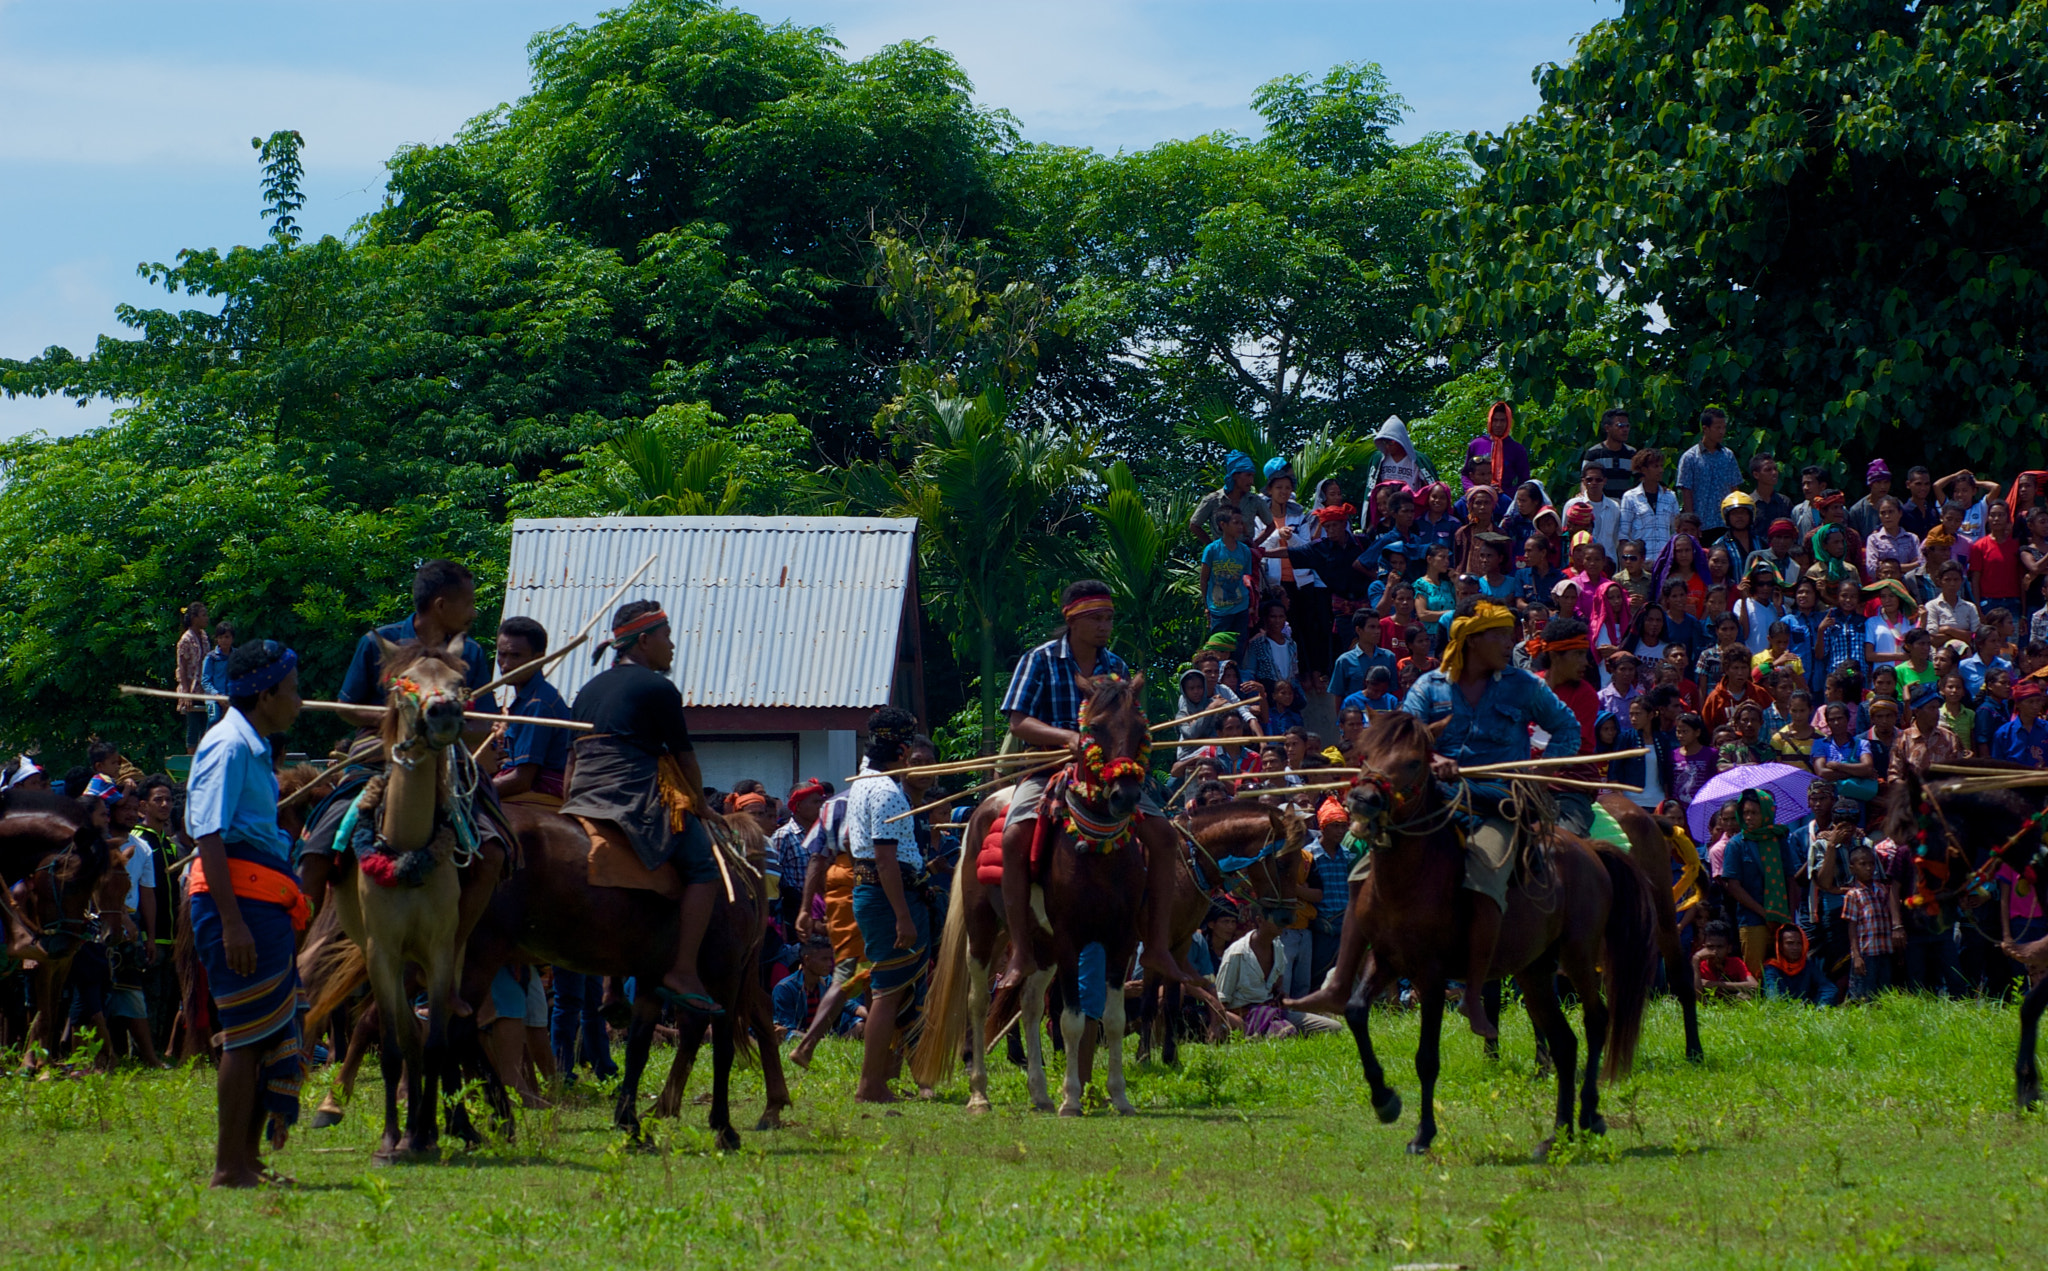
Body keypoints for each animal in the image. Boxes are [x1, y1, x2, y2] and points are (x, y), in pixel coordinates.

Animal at [0, 794, 125, 1064]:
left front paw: (40, 1064)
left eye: (93, 886)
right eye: (71, 883)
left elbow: (49, 1012)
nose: (67, 944)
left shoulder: (58, 963)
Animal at [323, 634, 475, 1162]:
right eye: (404, 682)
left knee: (427, 1035)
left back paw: (427, 1130)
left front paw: (424, 1132)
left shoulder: (441, 951)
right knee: (405, 1033)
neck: (408, 849)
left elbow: (435, 1045)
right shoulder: (381, 952)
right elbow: (393, 1046)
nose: (444, 712)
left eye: (459, 680)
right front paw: (392, 1139)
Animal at [913, 675, 1171, 1113]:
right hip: (985, 930)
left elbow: (1114, 1019)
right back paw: (980, 1093)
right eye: (1093, 728)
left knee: (1030, 1003)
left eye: (1141, 729)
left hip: (1040, 942)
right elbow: (1072, 1020)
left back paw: (1039, 1092)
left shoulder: (1121, 939)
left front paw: (1119, 1096)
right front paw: (1071, 1099)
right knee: (978, 1002)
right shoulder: (1069, 938)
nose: (1124, 796)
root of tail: (981, 810)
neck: (1098, 853)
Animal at [1335, 712, 1654, 1162]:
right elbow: (1355, 1012)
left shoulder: (1431, 974)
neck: (1410, 878)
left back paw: (1590, 1116)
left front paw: (1423, 1133)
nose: (1363, 798)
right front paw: (1385, 1100)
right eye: (1366, 755)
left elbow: (1427, 1058)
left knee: (1596, 1021)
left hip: (1577, 955)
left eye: (1414, 762)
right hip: (1534, 972)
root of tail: (1591, 850)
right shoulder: (1385, 959)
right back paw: (1558, 1134)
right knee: (1564, 1042)